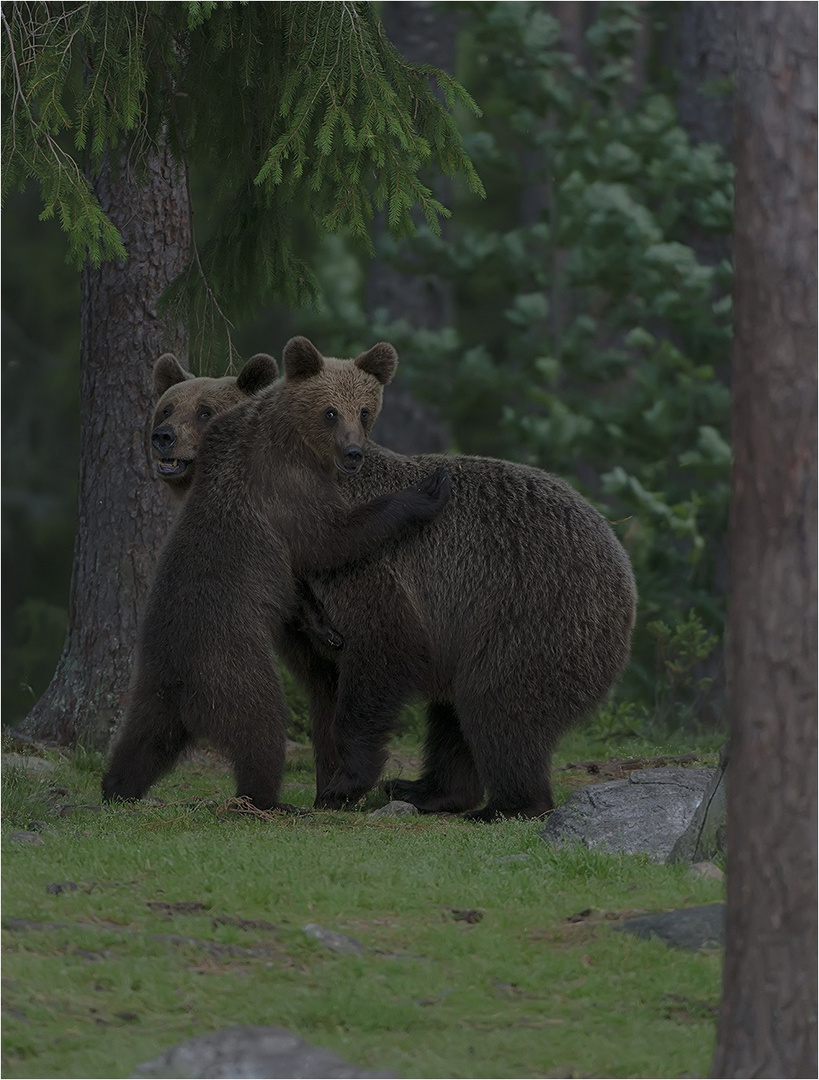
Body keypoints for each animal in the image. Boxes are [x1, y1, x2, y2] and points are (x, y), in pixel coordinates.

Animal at [101, 336, 455, 812]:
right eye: (167, 409)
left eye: (202, 411)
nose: (163, 437)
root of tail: (179, 686)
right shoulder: (285, 495)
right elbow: (332, 538)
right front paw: (425, 493)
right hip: (232, 669)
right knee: (261, 731)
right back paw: (268, 799)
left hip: (151, 693)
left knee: (139, 745)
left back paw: (115, 788)